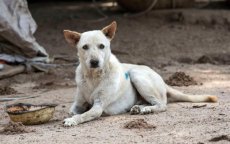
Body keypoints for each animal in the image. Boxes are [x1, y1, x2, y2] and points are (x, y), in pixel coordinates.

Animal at [62, 21, 217, 126]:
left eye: (101, 46)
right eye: (85, 47)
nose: (94, 62)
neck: (93, 77)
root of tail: (162, 80)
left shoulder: (98, 107)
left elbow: (82, 115)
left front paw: (71, 120)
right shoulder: (78, 104)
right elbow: (73, 111)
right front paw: (71, 116)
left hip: (136, 75)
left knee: (162, 105)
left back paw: (147, 109)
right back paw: (139, 108)